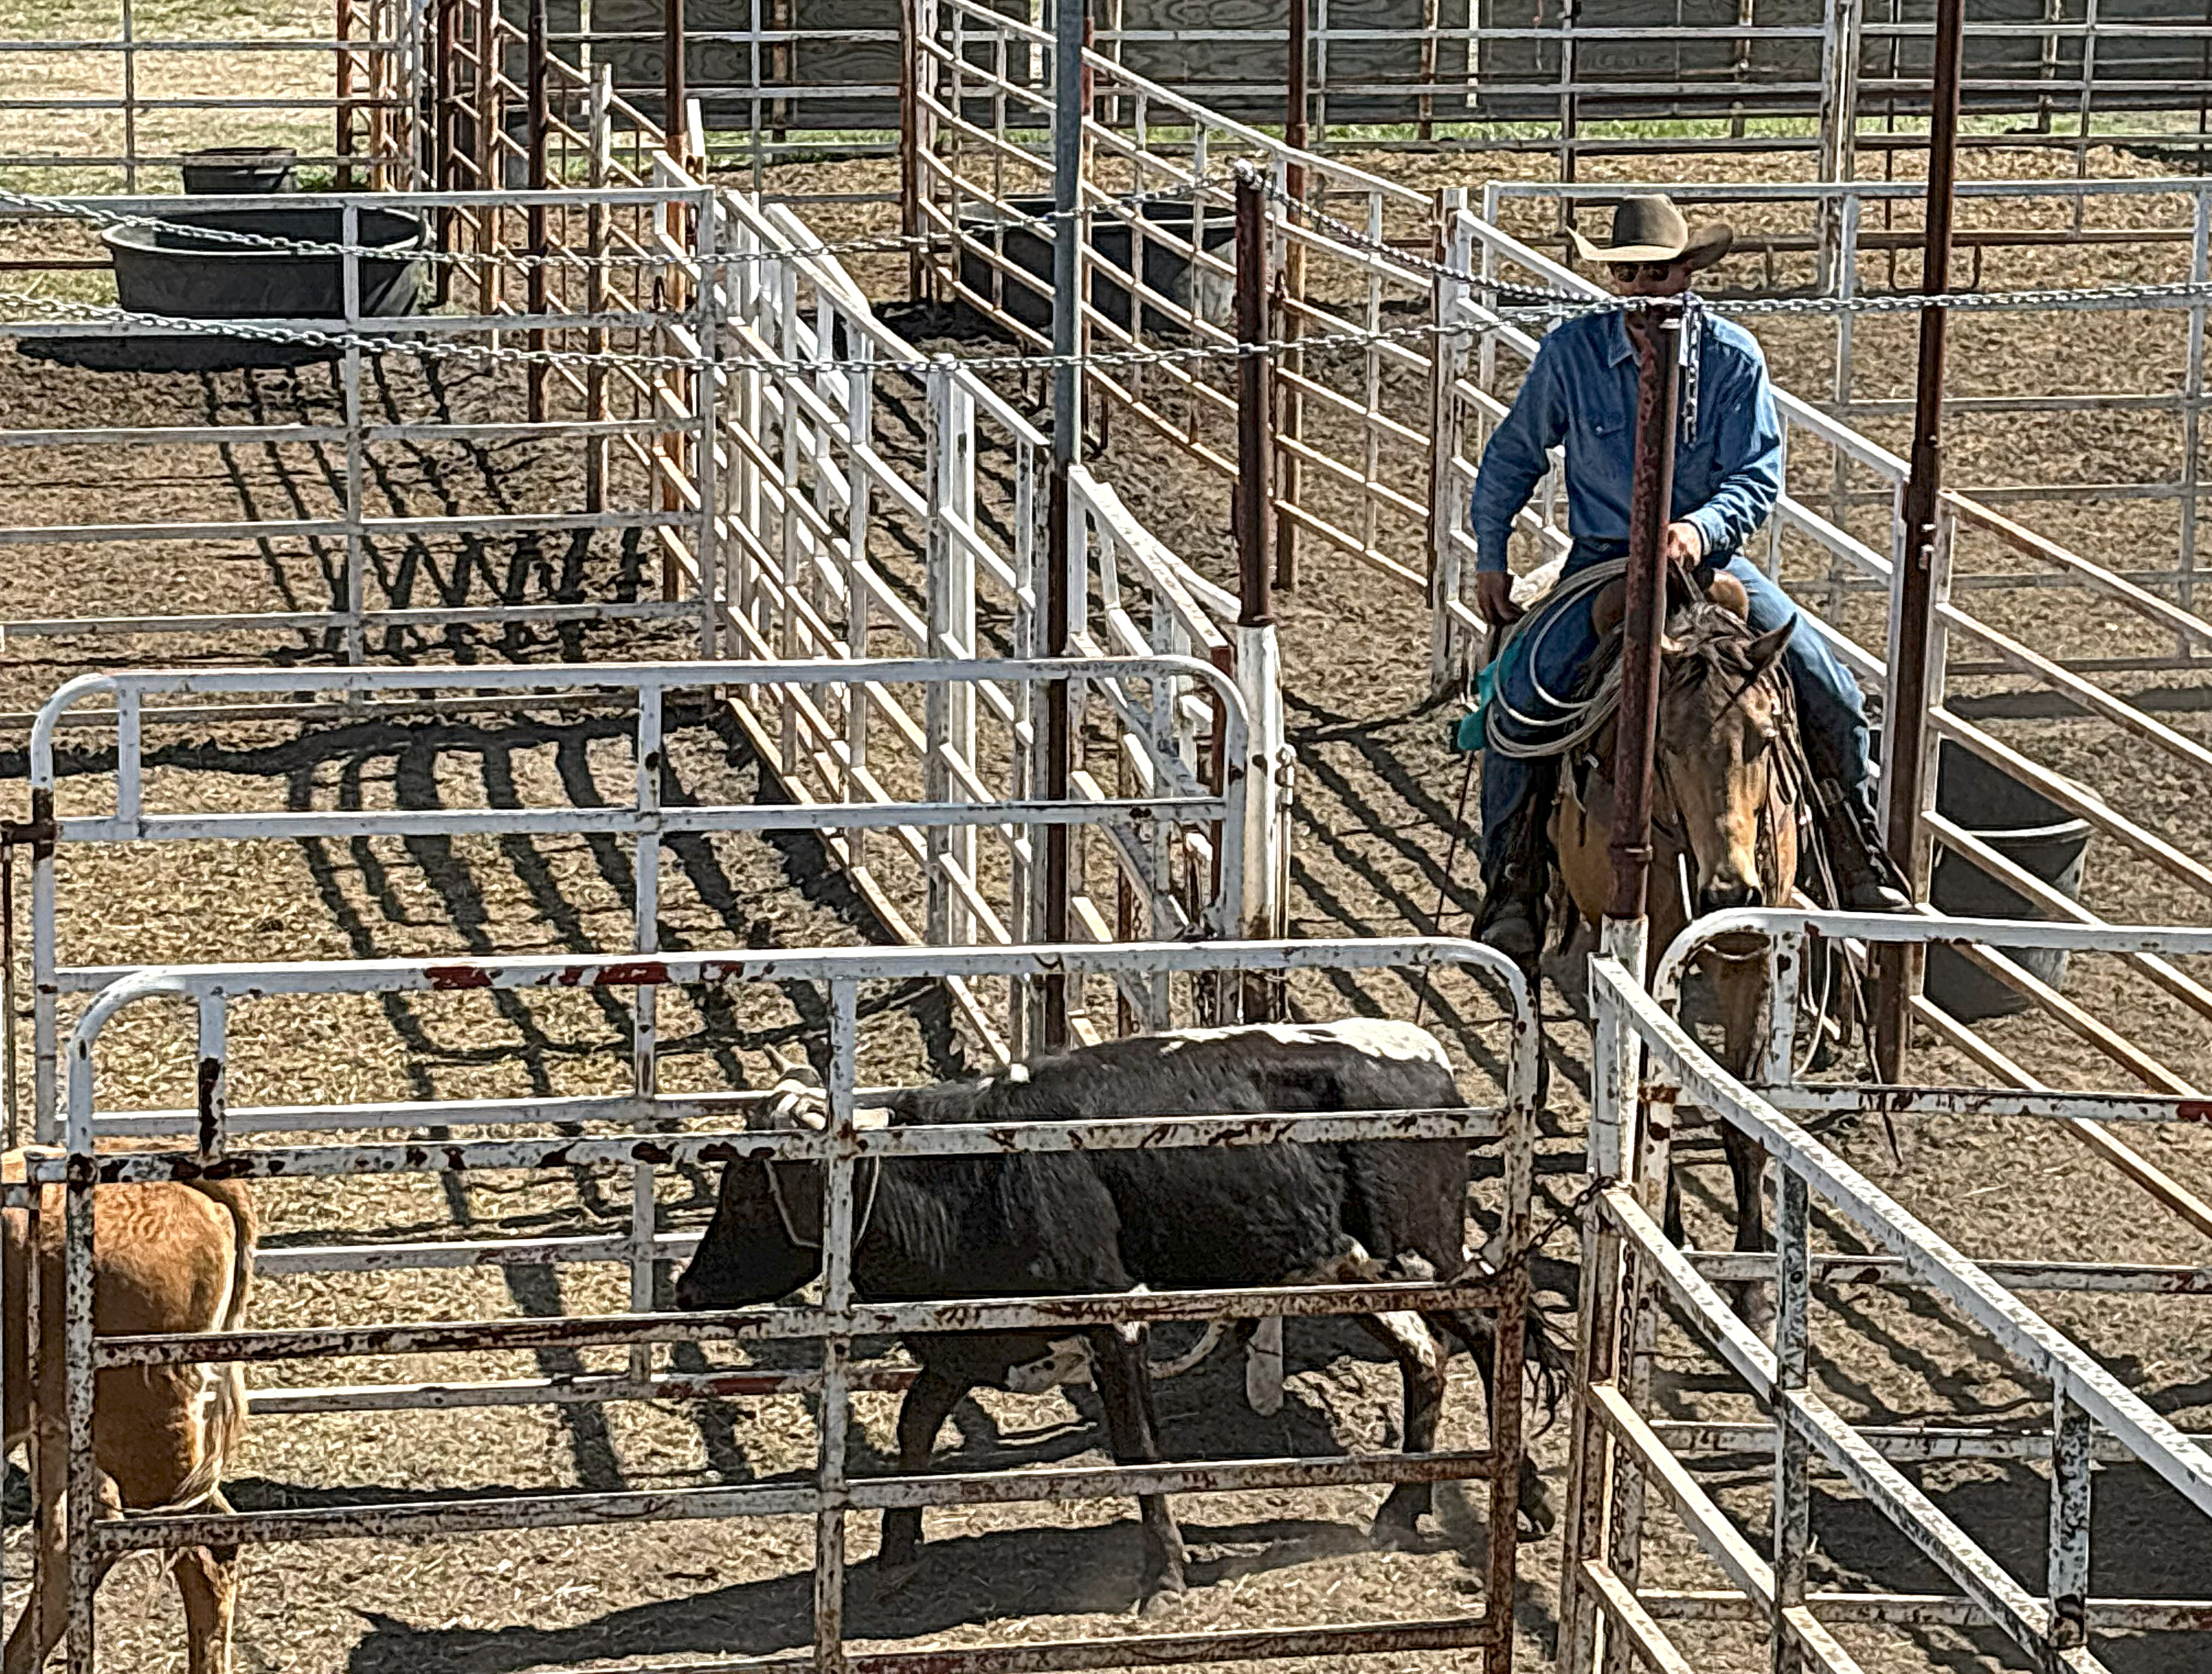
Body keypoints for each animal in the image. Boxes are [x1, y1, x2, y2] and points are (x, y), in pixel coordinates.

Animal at [675, 1018, 1554, 1613]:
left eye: (750, 1191)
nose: (686, 1289)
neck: (970, 1175)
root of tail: (1425, 1058)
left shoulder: (1114, 1322)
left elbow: (1138, 1450)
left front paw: (1164, 1576)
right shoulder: (971, 1343)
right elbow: (916, 1428)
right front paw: (897, 1550)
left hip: (1421, 1256)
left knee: (1485, 1339)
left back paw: (1525, 1497)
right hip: (1344, 1269)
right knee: (1424, 1357)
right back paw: (1402, 1507)